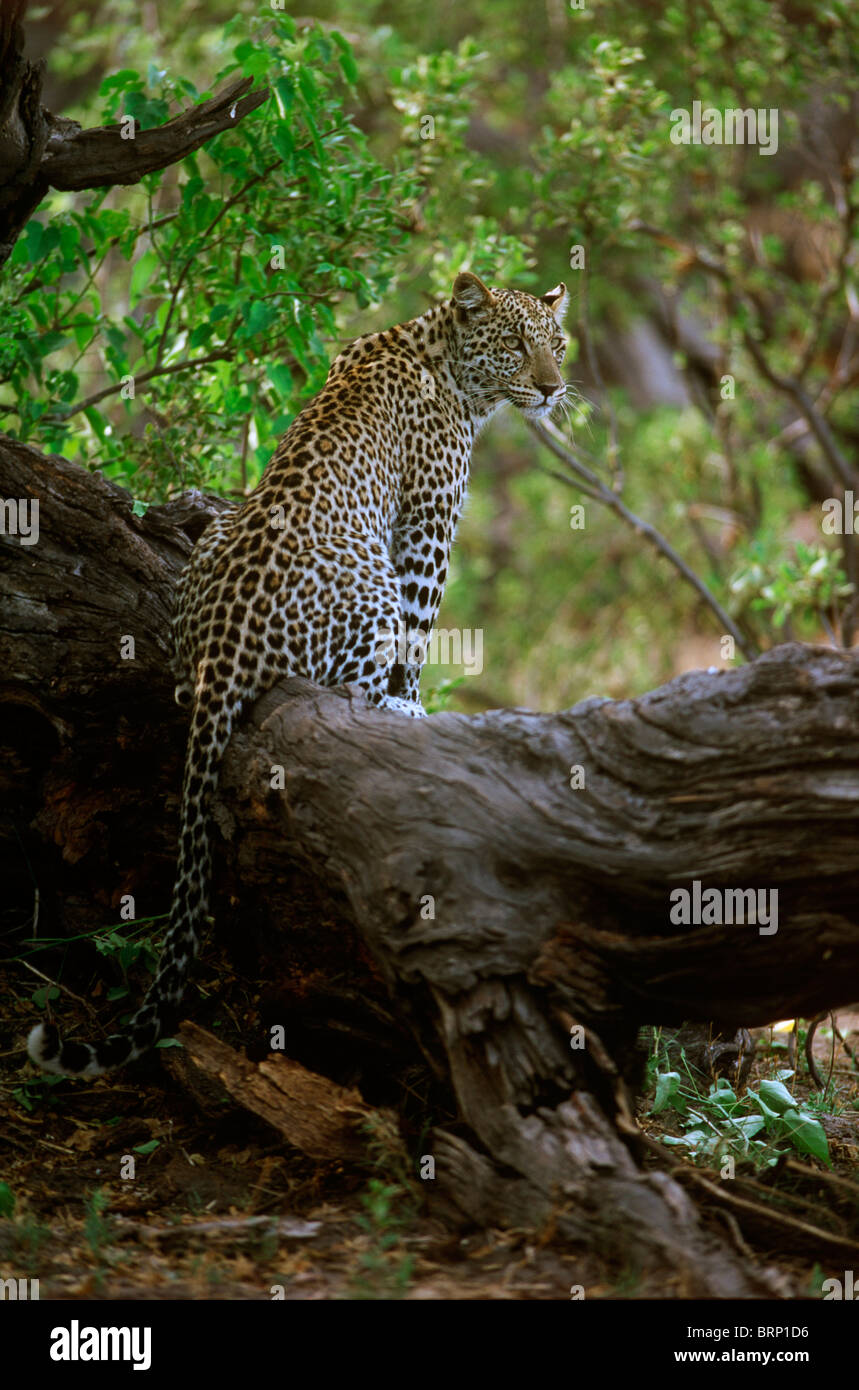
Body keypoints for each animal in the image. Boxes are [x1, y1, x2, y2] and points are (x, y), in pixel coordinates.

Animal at [27, 269, 569, 1078]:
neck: (442, 356)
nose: (553, 387)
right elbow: (419, 637)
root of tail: (219, 652)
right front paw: (416, 708)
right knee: (352, 682)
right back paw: (388, 712)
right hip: (371, 581)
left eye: (557, 344)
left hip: (216, 535)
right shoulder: (426, 530)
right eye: (513, 345)